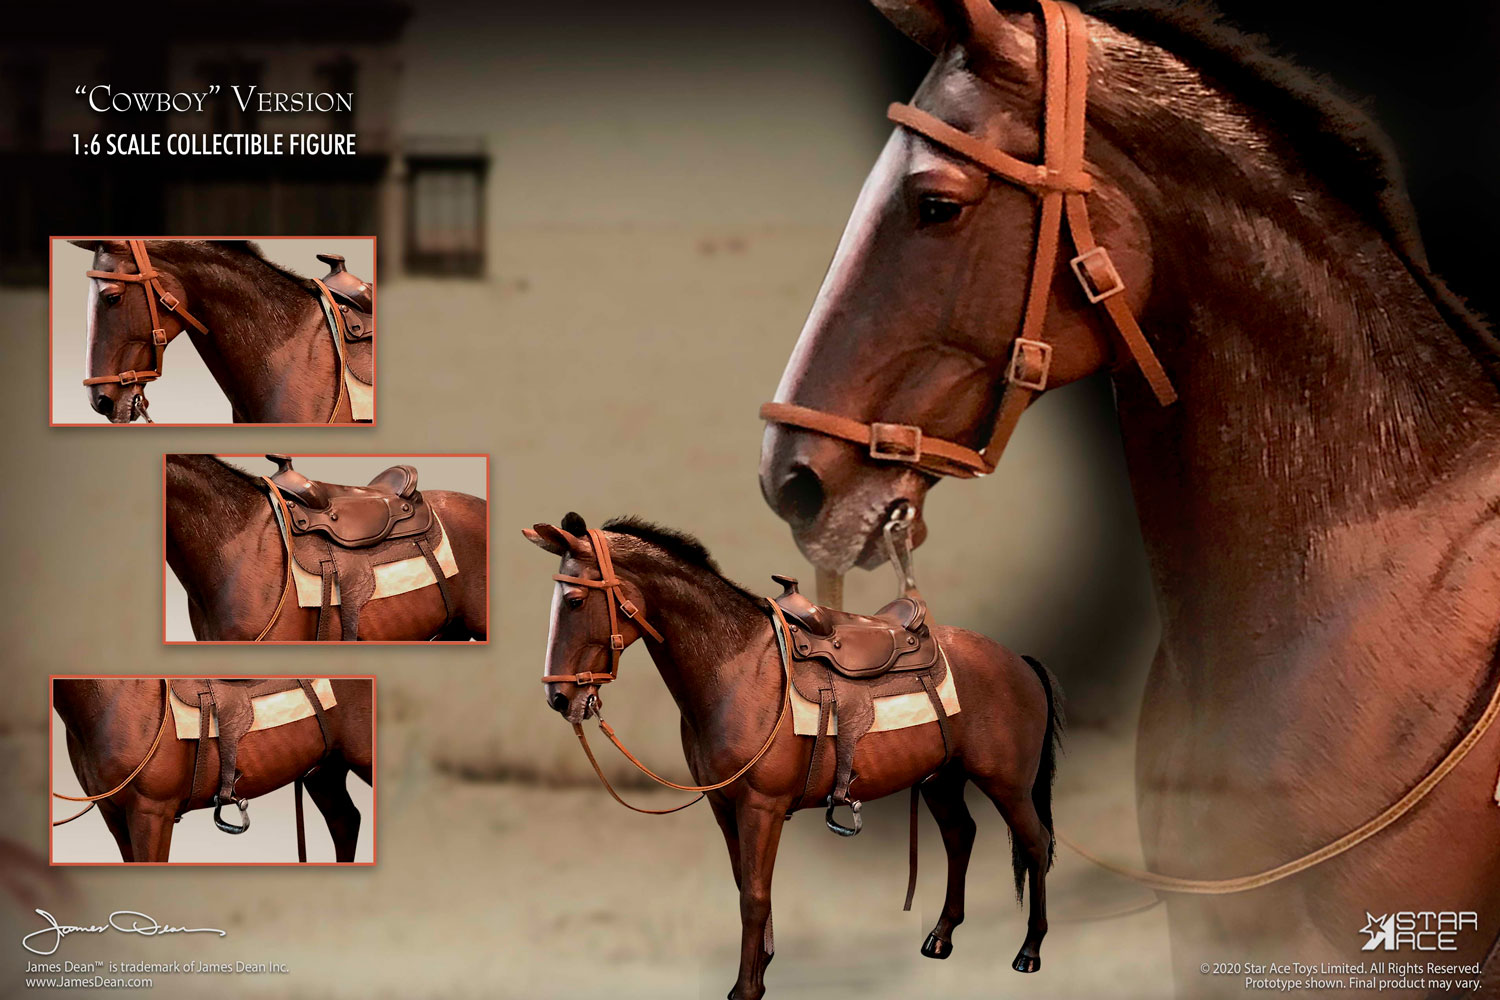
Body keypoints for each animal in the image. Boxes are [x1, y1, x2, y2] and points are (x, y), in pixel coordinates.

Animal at [524, 512, 1062, 1000]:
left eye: (574, 600)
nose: (559, 699)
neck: (738, 669)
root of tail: (1019, 660)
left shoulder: (761, 806)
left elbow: (754, 896)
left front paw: (746, 988)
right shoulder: (724, 806)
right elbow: (745, 885)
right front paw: (762, 964)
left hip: (1007, 784)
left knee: (1035, 842)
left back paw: (1030, 951)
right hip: (942, 779)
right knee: (960, 837)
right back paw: (941, 936)